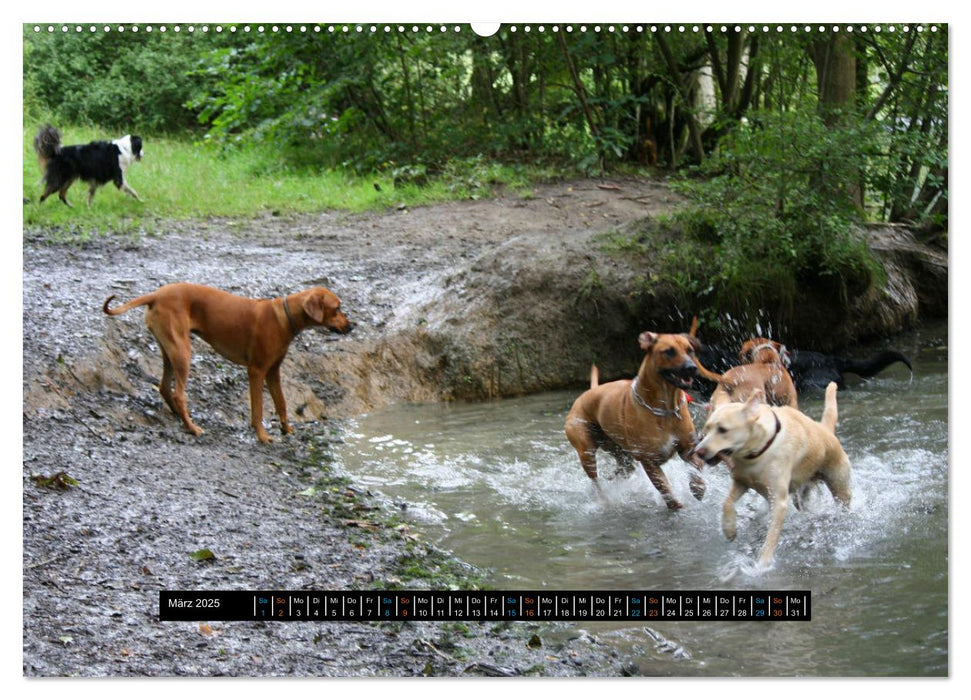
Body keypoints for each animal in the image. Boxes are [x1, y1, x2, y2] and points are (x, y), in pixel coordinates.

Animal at [103, 280, 354, 440]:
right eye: (337, 308)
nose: (352, 326)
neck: (284, 316)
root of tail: (156, 294)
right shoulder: (257, 371)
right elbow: (258, 409)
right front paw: (262, 436)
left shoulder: (273, 372)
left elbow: (282, 403)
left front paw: (287, 429)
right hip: (183, 352)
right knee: (178, 393)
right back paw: (191, 427)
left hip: (170, 350)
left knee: (165, 387)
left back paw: (178, 415)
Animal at [560, 330, 708, 512]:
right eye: (669, 351)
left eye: (690, 350)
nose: (691, 368)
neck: (664, 408)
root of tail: (590, 392)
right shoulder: (649, 460)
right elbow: (664, 489)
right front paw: (675, 505)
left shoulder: (688, 447)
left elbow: (696, 469)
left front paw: (697, 488)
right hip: (585, 450)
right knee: (596, 481)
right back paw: (605, 500)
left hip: (620, 452)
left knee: (623, 470)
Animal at [692, 382, 852, 568]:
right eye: (707, 428)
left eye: (723, 429)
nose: (698, 451)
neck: (758, 450)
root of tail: (825, 430)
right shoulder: (741, 482)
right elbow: (727, 503)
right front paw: (729, 529)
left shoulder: (779, 501)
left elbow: (772, 535)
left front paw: (763, 563)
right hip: (801, 494)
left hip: (840, 487)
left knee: (843, 503)